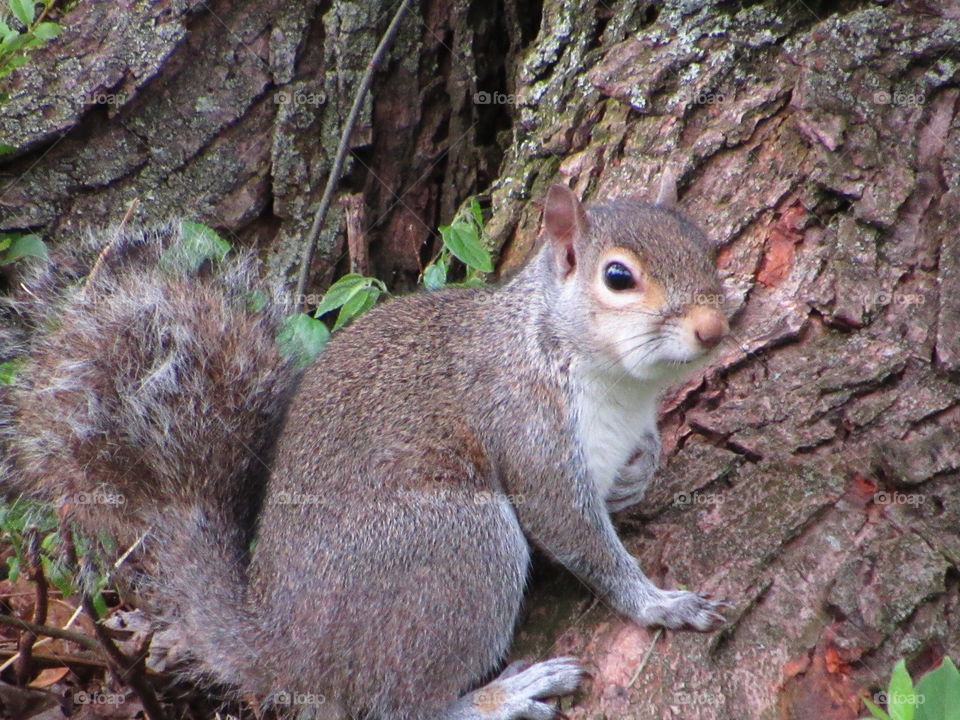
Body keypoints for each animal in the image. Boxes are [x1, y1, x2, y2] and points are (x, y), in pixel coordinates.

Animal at [2, 178, 730, 720]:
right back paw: (501, 696)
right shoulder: (528, 429)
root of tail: (283, 647)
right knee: (403, 704)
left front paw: (640, 471)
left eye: (706, 247)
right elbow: (578, 536)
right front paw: (658, 604)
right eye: (618, 277)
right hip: (458, 542)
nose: (714, 327)